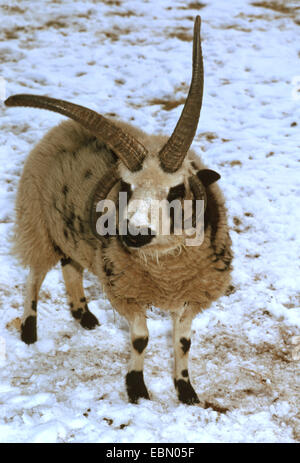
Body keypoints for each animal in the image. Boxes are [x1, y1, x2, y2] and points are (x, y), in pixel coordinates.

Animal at [4, 16, 233, 404]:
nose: (134, 233)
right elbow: (140, 339)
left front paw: (186, 391)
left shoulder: (191, 295)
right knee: (35, 274)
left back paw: (84, 316)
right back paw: (30, 330)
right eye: (125, 186)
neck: (167, 268)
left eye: (177, 190)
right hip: (38, 222)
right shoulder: (127, 292)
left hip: (70, 230)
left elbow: (183, 342)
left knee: (70, 266)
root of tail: (63, 127)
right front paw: (137, 389)